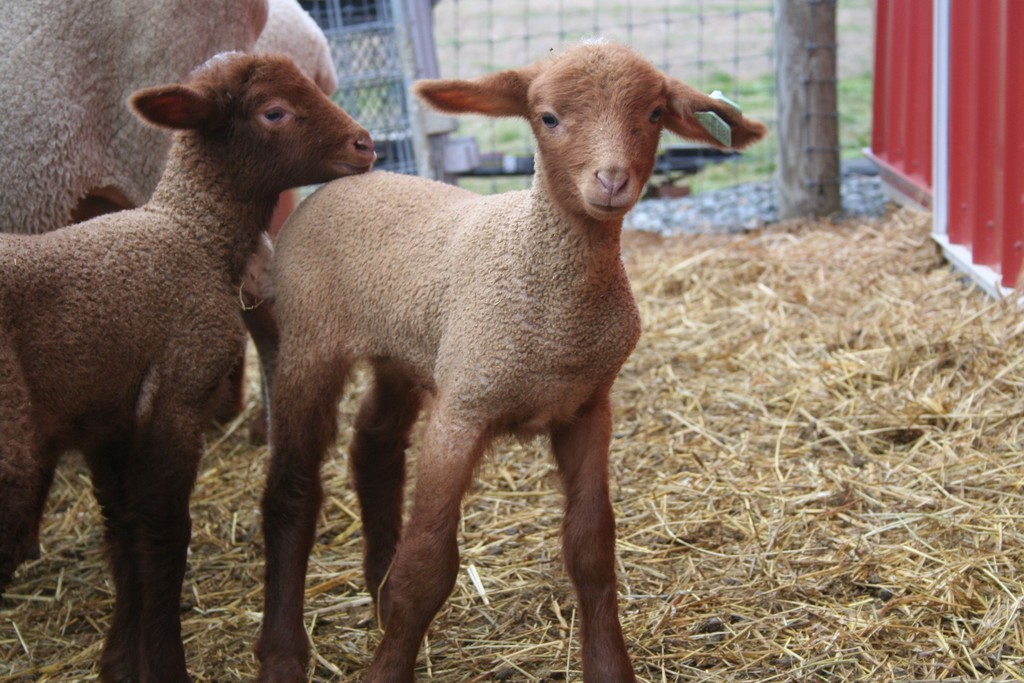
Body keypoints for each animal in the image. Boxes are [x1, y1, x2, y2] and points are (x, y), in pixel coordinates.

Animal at [0, 51, 375, 682]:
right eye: (275, 111)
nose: (366, 145)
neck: (193, 232)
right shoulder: (180, 387)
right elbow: (164, 535)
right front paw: (165, 663)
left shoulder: (108, 418)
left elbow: (121, 529)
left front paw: (120, 660)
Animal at [255, 41, 767, 683]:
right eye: (547, 117)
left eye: (653, 114)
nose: (612, 180)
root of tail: (349, 181)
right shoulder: (463, 408)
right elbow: (427, 566)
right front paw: (390, 662)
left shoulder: (586, 409)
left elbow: (592, 550)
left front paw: (609, 666)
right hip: (309, 338)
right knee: (293, 485)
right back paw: (282, 651)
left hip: (404, 350)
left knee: (374, 445)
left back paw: (377, 591)